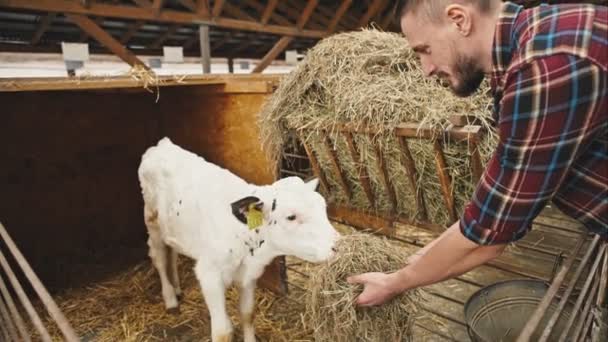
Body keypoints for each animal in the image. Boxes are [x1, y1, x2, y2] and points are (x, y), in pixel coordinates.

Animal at [137, 138, 342, 340]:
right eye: (291, 217)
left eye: (323, 207)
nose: (337, 245)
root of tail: (162, 145)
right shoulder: (209, 275)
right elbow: (222, 332)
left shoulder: (249, 273)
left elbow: (248, 314)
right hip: (152, 222)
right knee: (159, 259)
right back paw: (170, 298)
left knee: (172, 253)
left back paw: (177, 288)